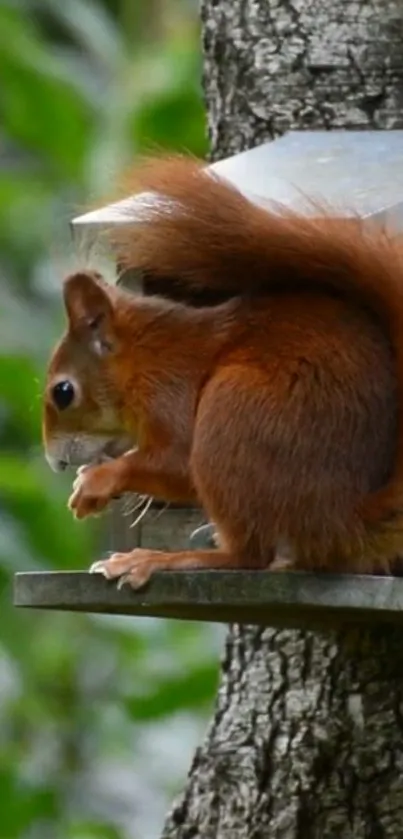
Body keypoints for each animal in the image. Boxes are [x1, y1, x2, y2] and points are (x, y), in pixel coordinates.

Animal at [41, 158, 403, 592]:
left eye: (63, 392)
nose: (55, 463)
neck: (143, 358)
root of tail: (343, 521)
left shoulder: (169, 389)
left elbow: (177, 462)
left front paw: (97, 480)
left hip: (232, 414)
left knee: (248, 556)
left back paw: (160, 559)